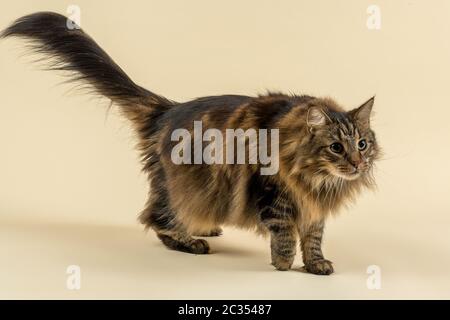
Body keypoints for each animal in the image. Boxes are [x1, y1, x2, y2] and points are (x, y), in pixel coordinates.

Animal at [2, 11, 380, 276]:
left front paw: (316, 265)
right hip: (182, 185)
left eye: (362, 144)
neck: (318, 179)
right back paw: (192, 242)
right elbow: (285, 235)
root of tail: (168, 109)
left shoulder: (314, 207)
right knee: (154, 218)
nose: (358, 163)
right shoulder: (275, 195)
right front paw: (284, 265)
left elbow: (313, 240)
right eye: (336, 147)